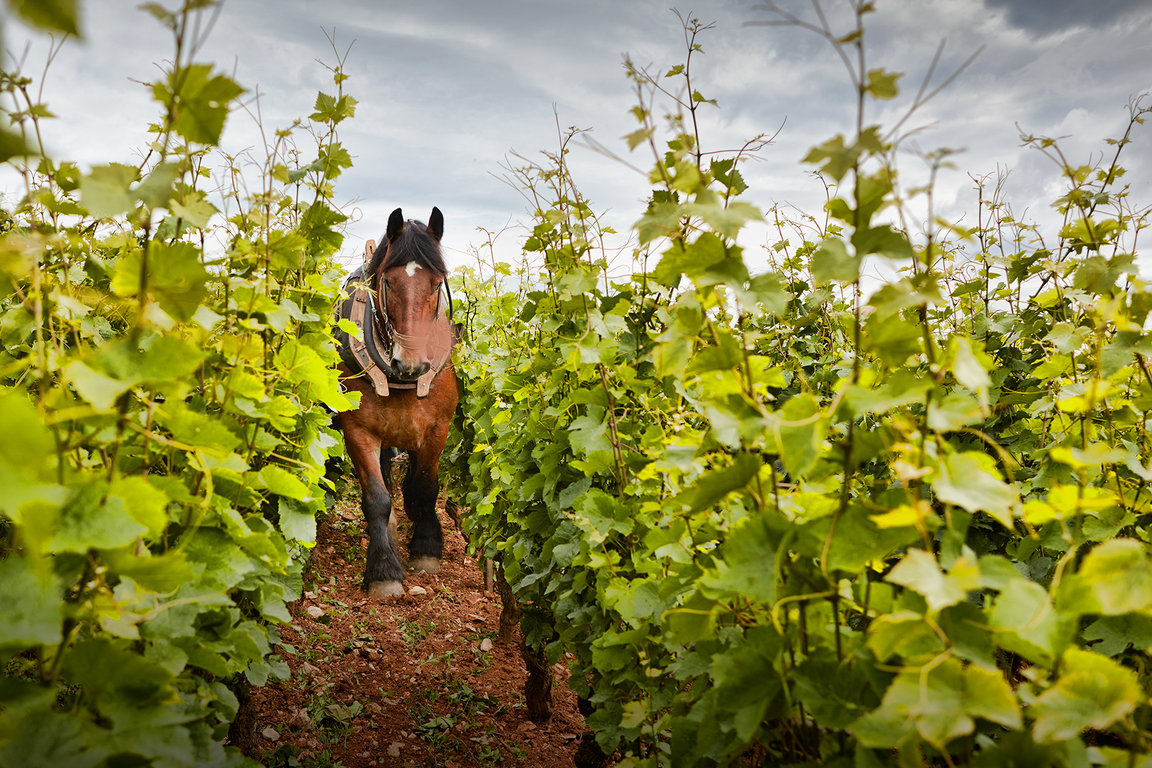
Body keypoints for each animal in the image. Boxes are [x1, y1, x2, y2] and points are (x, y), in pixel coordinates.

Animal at [334, 207, 458, 598]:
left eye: (436, 283)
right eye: (388, 283)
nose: (412, 364)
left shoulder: (437, 428)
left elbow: (425, 487)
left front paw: (427, 547)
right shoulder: (357, 430)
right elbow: (376, 497)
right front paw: (383, 570)